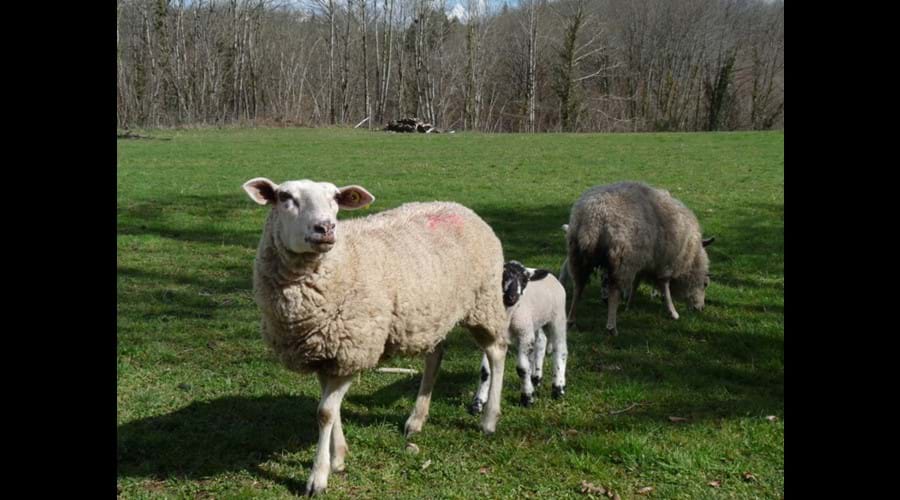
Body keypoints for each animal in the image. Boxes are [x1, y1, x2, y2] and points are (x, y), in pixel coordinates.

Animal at [242, 178, 509, 496]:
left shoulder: (353, 349)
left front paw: (318, 477)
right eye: (285, 197)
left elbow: (325, 412)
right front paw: (338, 457)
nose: (326, 227)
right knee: (435, 356)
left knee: (497, 351)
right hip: (432, 312)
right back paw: (416, 420)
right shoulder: (325, 353)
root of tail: (460, 207)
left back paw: (489, 420)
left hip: (484, 300)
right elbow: (331, 409)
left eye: (335, 198)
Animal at [470, 261, 568, 412]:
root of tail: (552, 276)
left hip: (557, 318)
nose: (511, 297)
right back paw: (536, 378)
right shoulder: (493, 338)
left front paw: (527, 398)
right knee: (541, 343)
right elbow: (485, 371)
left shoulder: (524, 335)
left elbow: (522, 369)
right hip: (536, 321)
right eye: (502, 276)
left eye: (524, 280)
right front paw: (478, 403)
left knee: (560, 349)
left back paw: (558, 388)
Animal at [565, 181, 715, 335]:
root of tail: (595, 217)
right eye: (705, 284)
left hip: (578, 255)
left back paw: (571, 321)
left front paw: (629, 304)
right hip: (622, 259)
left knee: (578, 286)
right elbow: (665, 285)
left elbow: (637, 282)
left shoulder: (644, 261)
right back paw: (612, 327)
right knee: (614, 291)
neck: (690, 257)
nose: (700, 309)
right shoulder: (665, 263)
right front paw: (672, 311)